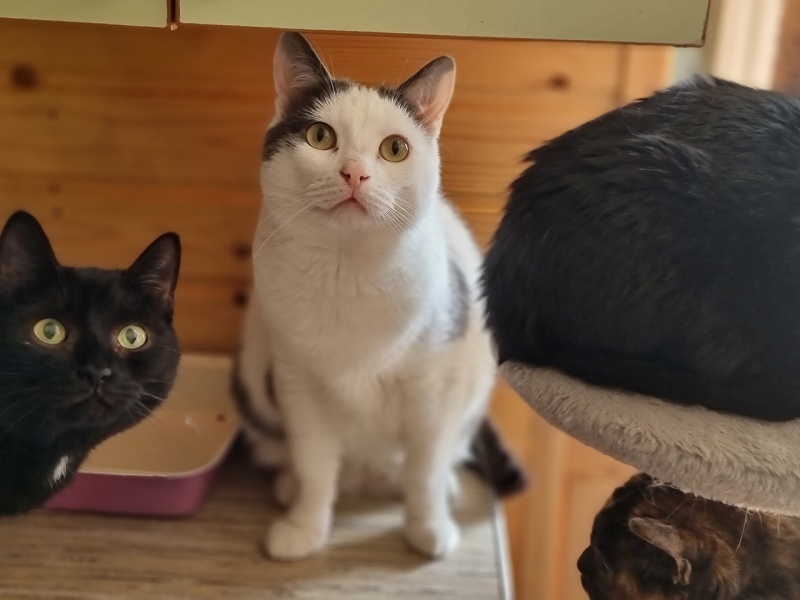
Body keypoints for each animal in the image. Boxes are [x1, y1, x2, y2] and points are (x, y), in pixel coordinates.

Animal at [235, 32, 525, 561]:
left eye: (395, 149)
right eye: (320, 137)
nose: (354, 174)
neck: (348, 274)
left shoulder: (433, 389)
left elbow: (424, 471)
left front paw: (427, 529)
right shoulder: (298, 385)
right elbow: (314, 465)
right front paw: (304, 528)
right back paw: (291, 486)